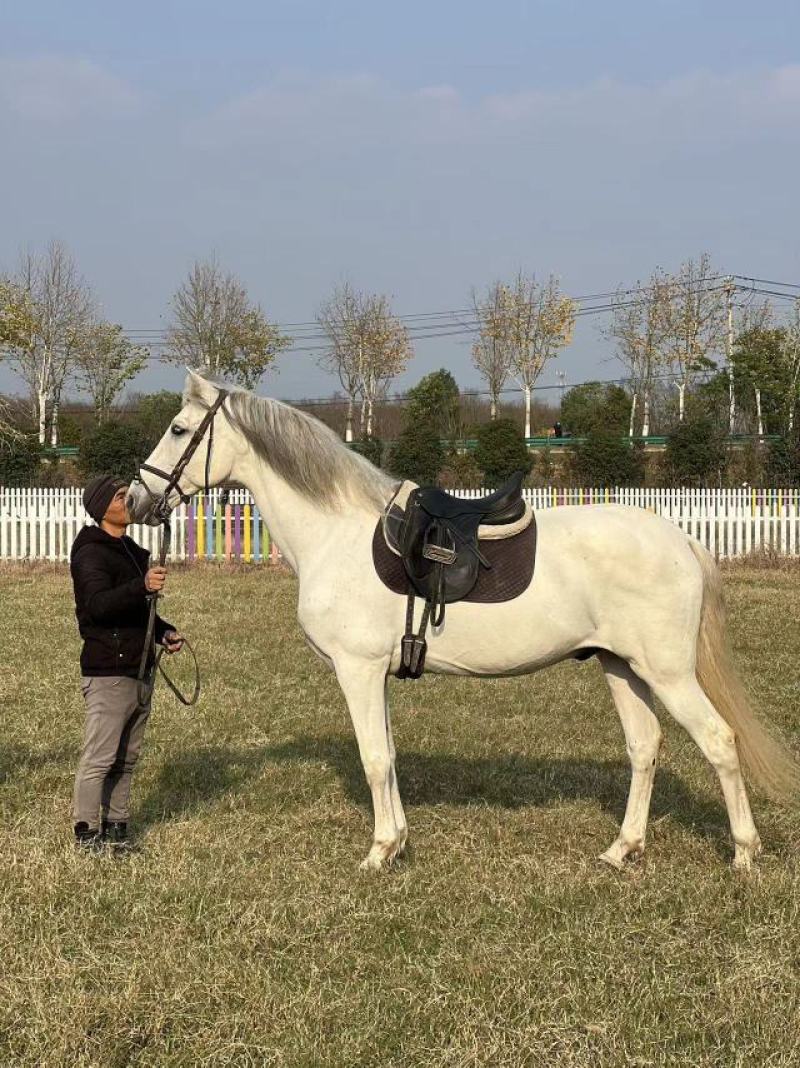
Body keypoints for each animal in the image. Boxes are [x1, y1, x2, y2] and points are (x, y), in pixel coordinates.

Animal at [127, 370, 799, 872]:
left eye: (179, 429)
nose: (137, 500)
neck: (335, 533)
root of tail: (682, 541)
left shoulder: (357, 670)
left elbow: (374, 758)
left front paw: (377, 853)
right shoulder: (376, 676)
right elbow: (389, 755)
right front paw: (397, 842)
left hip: (667, 673)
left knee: (718, 741)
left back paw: (743, 854)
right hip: (622, 668)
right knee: (645, 746)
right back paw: (621, 849)